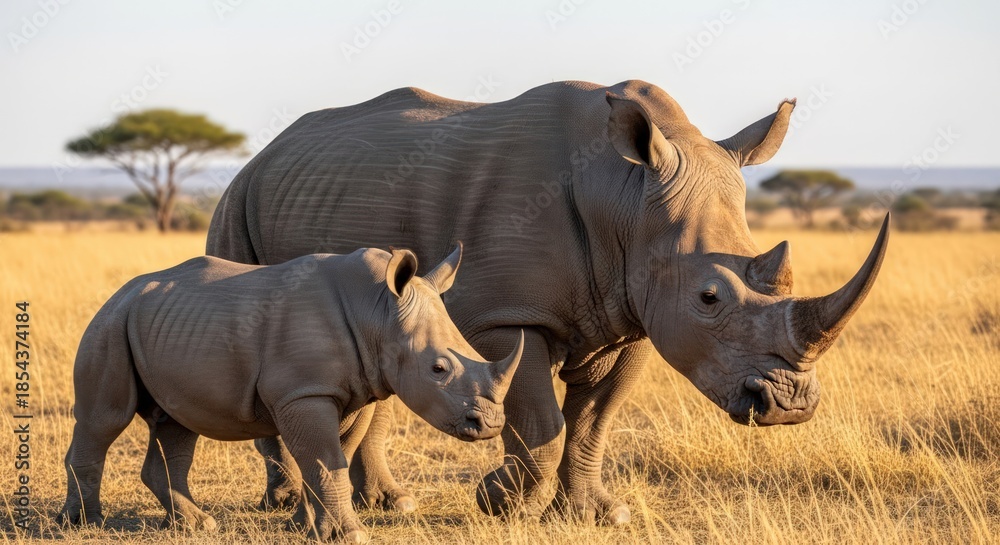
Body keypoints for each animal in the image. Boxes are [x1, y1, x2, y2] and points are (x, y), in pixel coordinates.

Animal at [57, 245, 524, 543]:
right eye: (438, 369)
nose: (490, 424)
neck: (377, 312)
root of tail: (119, 293)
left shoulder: (353, 391)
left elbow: (331, 456)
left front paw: (308, 529)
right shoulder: (304, 393)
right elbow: (326, 459)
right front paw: (352, 534)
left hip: (163, 325)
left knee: (175, 424)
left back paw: (196, 525)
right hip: (109, 324)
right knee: (104, 419)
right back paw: (84, 525)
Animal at [207, 79, 889, 524]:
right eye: (709, 297)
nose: (788, 405)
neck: (627, 194)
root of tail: (265, 152)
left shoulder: (634, 317)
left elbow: (594, 421)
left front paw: (595, 514)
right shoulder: (509, 316)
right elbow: (540, 423)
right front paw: (500, 502)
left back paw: (390, 503)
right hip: (236, 202)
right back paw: (284, 503)